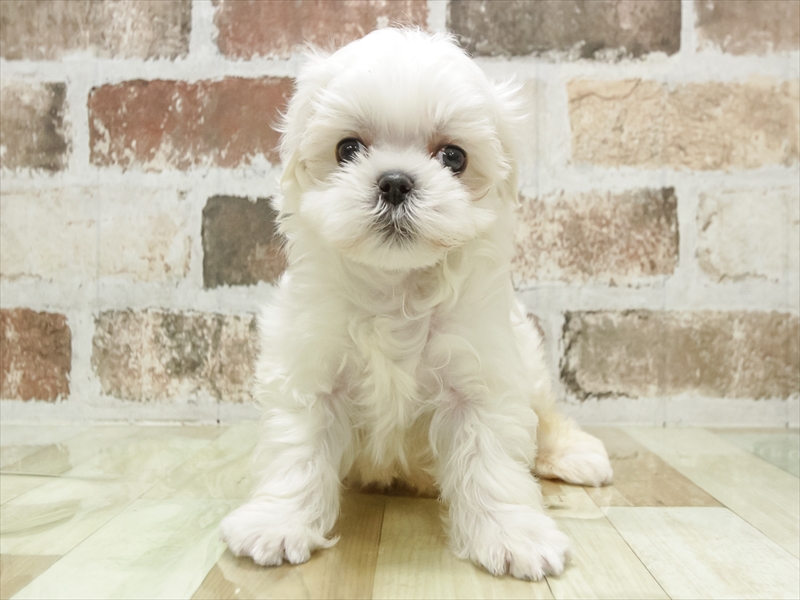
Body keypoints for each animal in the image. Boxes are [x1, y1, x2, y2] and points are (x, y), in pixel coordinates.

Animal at [221, 28, 612, 581]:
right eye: (347, 149)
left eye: (453, 157)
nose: (394, 181)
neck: (396, 287)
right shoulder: (310, 371)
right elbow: (297, 451)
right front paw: (277, 523)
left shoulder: (481, 380)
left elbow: (491, 463)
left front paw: (513, 535)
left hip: (529, 363)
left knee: (547, 416)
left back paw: (575, 455)